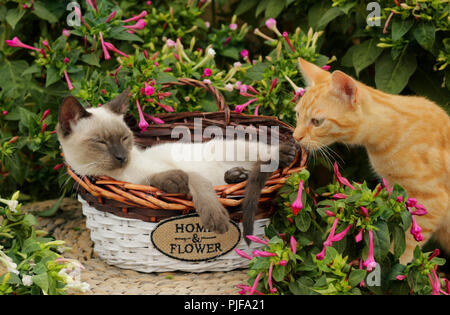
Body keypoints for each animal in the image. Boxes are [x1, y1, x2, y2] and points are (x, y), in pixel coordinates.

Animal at [57, 90, 296, 241]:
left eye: (124, 138)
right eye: (101, 142)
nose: (121, 157)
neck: (123, 175)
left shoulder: (186, 173)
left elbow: (195, 184)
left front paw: (217, 220)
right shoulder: (141, 183)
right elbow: (159, 179)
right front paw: (174, 182)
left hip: (242, 149)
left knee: (267, 156)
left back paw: (285, 153)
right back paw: (237, 176)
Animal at [294, 57, 448, 264]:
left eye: (317, 122)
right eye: (298, 115)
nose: (295, 136)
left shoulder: (433, 201)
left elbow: (408, 243)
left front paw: (393, 264)